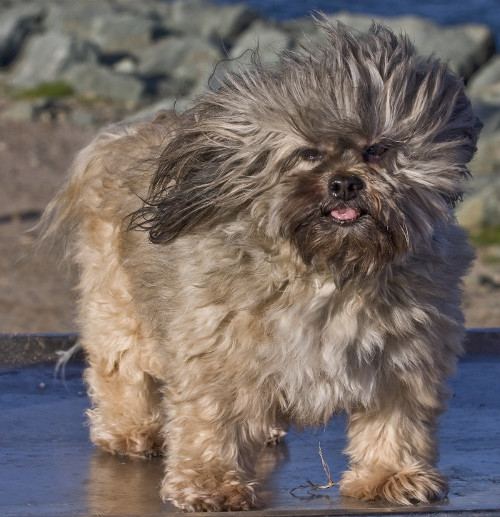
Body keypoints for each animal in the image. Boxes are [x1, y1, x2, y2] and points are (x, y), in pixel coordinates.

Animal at [39, 21, 480, 512]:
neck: (330, 270)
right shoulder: (216, 351)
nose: (344, 184)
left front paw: (391, 476)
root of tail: (121, 138)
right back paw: (130, 431)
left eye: (377, 150)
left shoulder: (404, 357)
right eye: (309, 153)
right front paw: (210, 484)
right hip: (118, 305)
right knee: (122, 369)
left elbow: (397, 420)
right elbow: (211, 419)